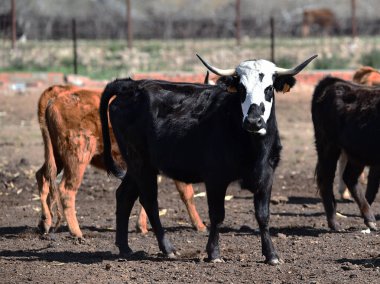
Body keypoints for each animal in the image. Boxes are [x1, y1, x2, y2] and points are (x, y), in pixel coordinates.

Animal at [36, 85, 205, 240]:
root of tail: (55, 98)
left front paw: (142, 227)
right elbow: (187, 193)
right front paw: (200, 225)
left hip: (57, 156)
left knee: (42, 176)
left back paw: (45, 222)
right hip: (77, 155)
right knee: (66, 190)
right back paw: (76, 232)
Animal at [99, 53, 316, 264]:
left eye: (269, 88)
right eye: (241, 88)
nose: (253, 121)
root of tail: (131, 86)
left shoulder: (267, 176)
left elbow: (263, 215)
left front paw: (271, 255)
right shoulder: (215, 179)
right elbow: (217, 215)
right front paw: (214, 253)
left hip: (138, 165)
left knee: (124, 195)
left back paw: (125, 247)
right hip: (140, 163)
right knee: (149, 200)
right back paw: (167, 248)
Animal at [312, 76, 380, 232]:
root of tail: (332, 81)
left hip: (358, 153)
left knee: (349, 177)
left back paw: (369, 219)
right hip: (328, 146)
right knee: (326, 180)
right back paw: (334, 224)